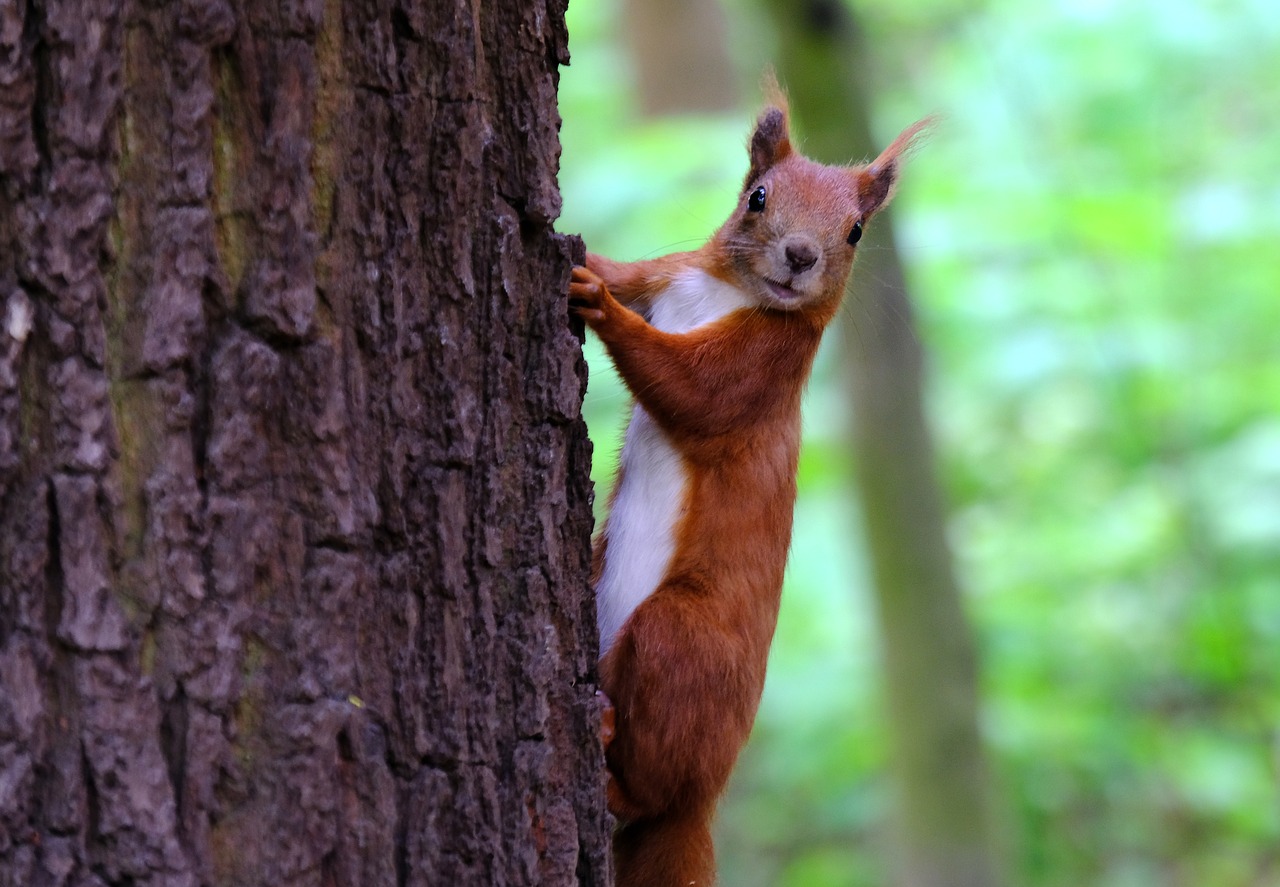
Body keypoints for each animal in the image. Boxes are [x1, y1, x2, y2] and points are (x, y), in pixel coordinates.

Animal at [568, 88, 921, 885]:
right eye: (757, 196)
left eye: (855, 231)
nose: (801, 256)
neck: (725, 292)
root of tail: (702, 802)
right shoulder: (666, 274)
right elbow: (628, 269)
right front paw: (579, 251)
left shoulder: (761, 371)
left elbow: (694, 390)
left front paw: (597, 301)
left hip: (681, 641)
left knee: (651, 786)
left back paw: (611, 761)